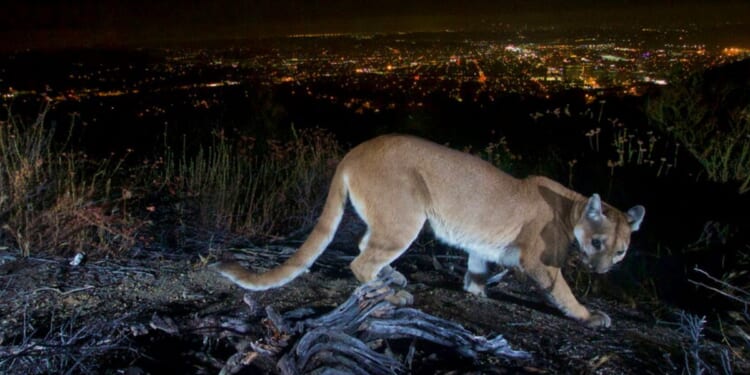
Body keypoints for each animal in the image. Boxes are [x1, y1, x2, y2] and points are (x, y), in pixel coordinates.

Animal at [213, 134, 648, 328]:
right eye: (597, 242)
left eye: (621, 250)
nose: (603, 270)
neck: (572, 207)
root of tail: (355, 150)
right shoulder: (539, 261)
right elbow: (562, 291)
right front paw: (589, 315)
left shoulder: (482, 246)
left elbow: (476, 269)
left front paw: (477, 292)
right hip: (407, 217)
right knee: (361, 260)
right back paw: (394, 292)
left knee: (364, 245)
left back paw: (394, 277)